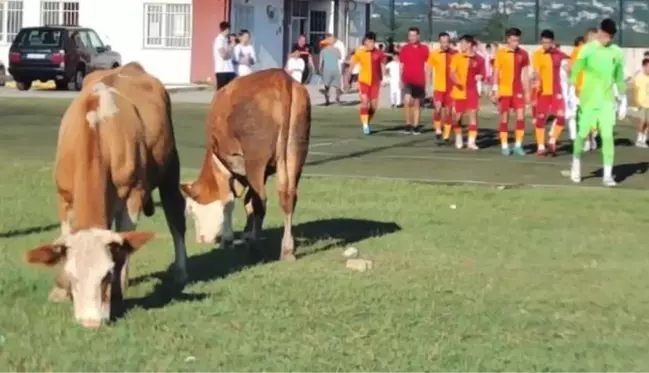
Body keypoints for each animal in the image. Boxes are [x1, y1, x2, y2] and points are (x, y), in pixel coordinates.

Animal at [24, 62, 187, 326]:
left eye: (106, 275)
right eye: (72, 276)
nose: (90, 323)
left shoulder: (132, 196)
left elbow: (123, 246)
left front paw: (118, 292)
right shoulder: (64, 197)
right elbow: (64, 237)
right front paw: (60, 290)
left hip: (170, 166)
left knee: (175, 216)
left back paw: (181, 271)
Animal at [180, 68, 312, 260]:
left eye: (190, 210)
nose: (201, 239)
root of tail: (282, 79)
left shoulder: (220, 163)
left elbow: (228, 202)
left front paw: (227, 240)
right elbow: (247, 201)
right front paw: (246, 232)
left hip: (255, 159)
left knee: (261, 200)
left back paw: (256, 246)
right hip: (295, 151)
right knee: (287, 197)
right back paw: (286, 249)